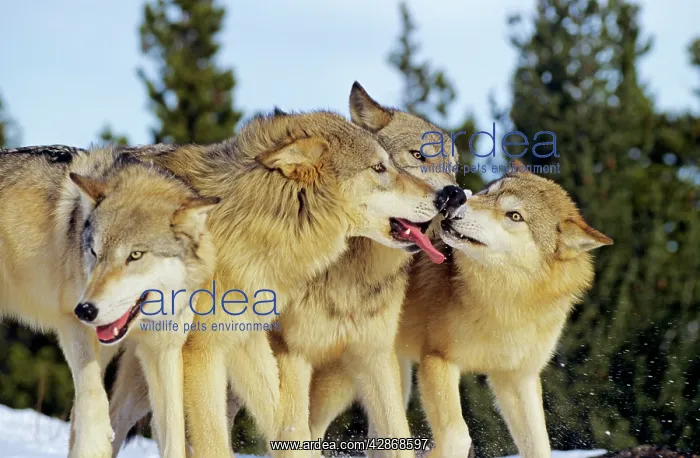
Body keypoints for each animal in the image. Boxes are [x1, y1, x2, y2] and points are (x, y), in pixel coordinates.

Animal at [0, 145, 219, 458]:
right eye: (94, 252)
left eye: (135, 255)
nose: (86, 309)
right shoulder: (71, 323)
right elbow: (93, 399)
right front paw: (97, 441)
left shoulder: (162, 350)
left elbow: (173, 430)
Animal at [104, 108, 458, 457]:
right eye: (380, 167)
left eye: (453, 168)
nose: (449, 197)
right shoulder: (210, 350)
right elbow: (214, 441)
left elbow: (294, 429)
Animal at [308, 161, 614, 458]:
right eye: (489, 192)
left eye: (515, 216)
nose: (455, 201)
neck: (503, 303)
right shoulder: (437, 360)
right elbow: (458, 435)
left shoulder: (517, 378)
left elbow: (539, 446)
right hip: (342, 380)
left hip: (392, 378)